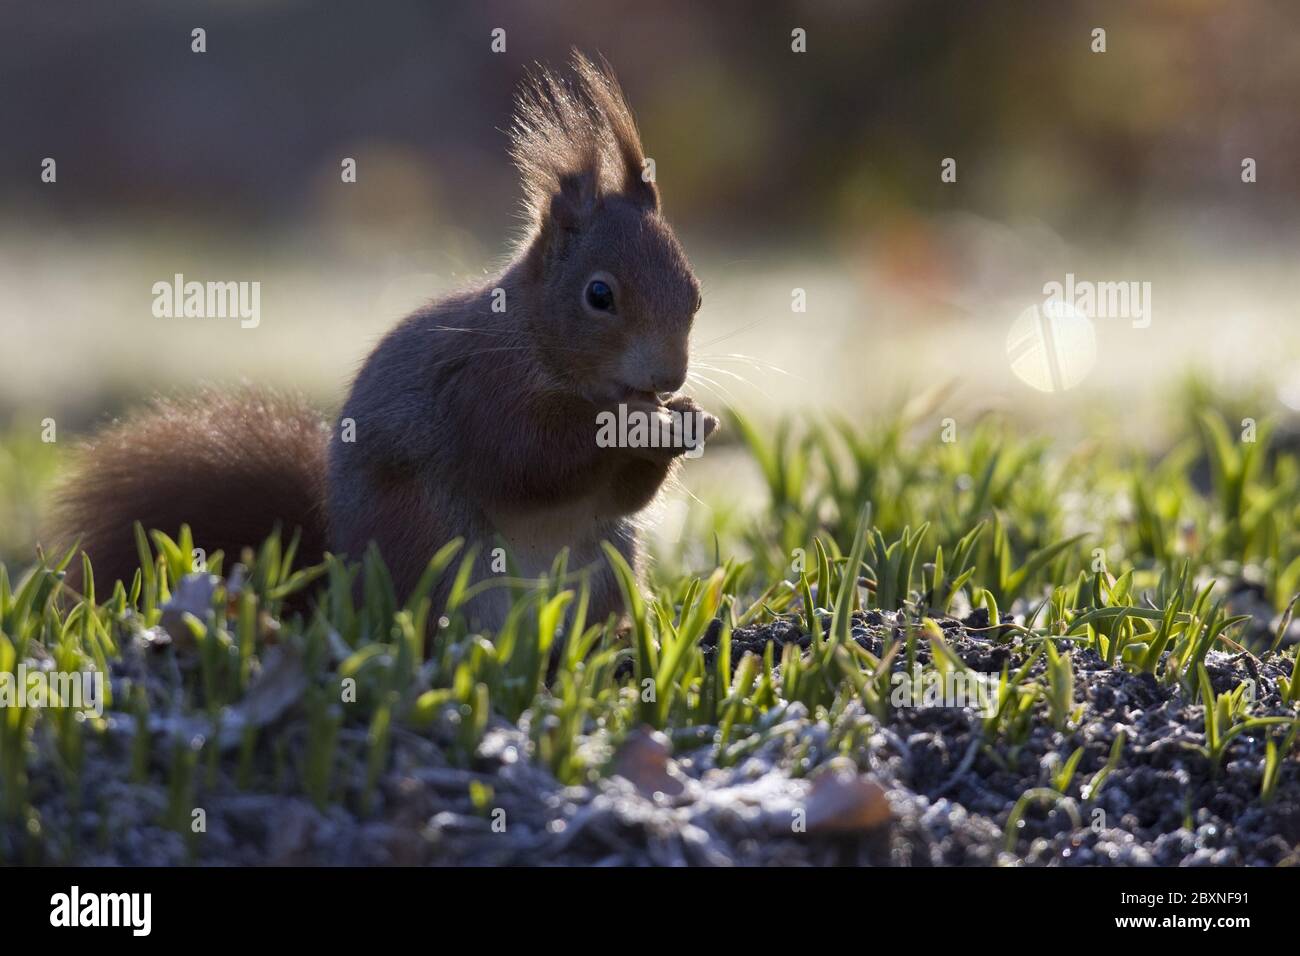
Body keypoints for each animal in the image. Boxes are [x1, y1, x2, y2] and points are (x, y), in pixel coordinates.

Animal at [55, 55, 717, 632]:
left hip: (607, 562)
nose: (669, 378)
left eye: (696, 292)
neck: (535, 338)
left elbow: (623, 496)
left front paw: (687, 419)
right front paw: (639, 423)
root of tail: (340, 588)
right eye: (599, 295)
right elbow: (530, 460)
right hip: (435, 545)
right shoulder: (478, 388)